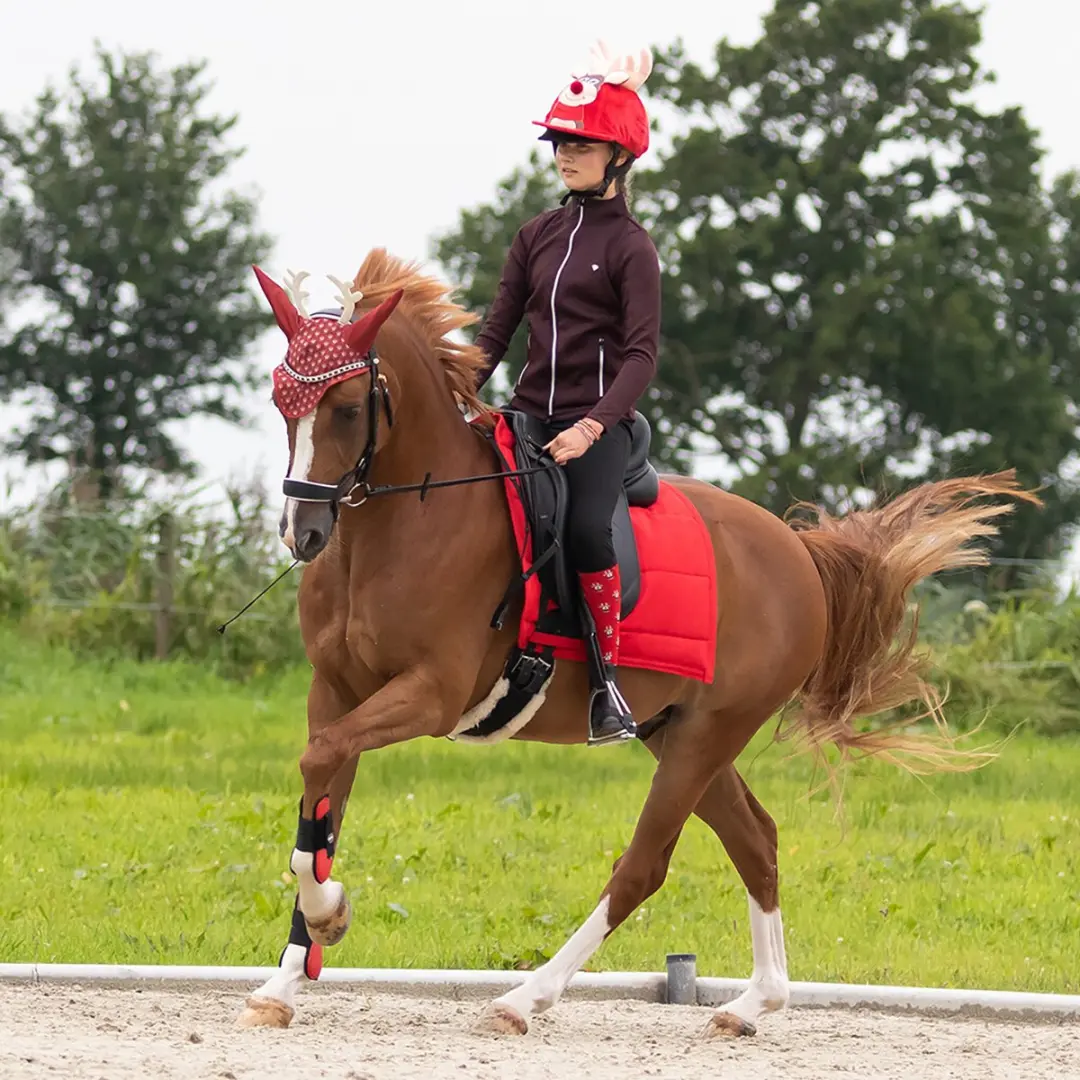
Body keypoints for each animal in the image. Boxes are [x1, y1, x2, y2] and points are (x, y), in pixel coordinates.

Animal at [236, 249, 1038, 1040]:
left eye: (347, 408)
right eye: (281, 402)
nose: (303, 533)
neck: (405, 524)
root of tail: (799, 553)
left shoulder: (432, 693)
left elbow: (321, 772)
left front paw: (330, 915)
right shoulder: (336, 693)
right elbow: (320, 805)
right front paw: (287, 977)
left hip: (707, 736)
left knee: (645, 866)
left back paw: (524, 999)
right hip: (678, 732)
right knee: (757, 839)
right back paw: (752, 1005)